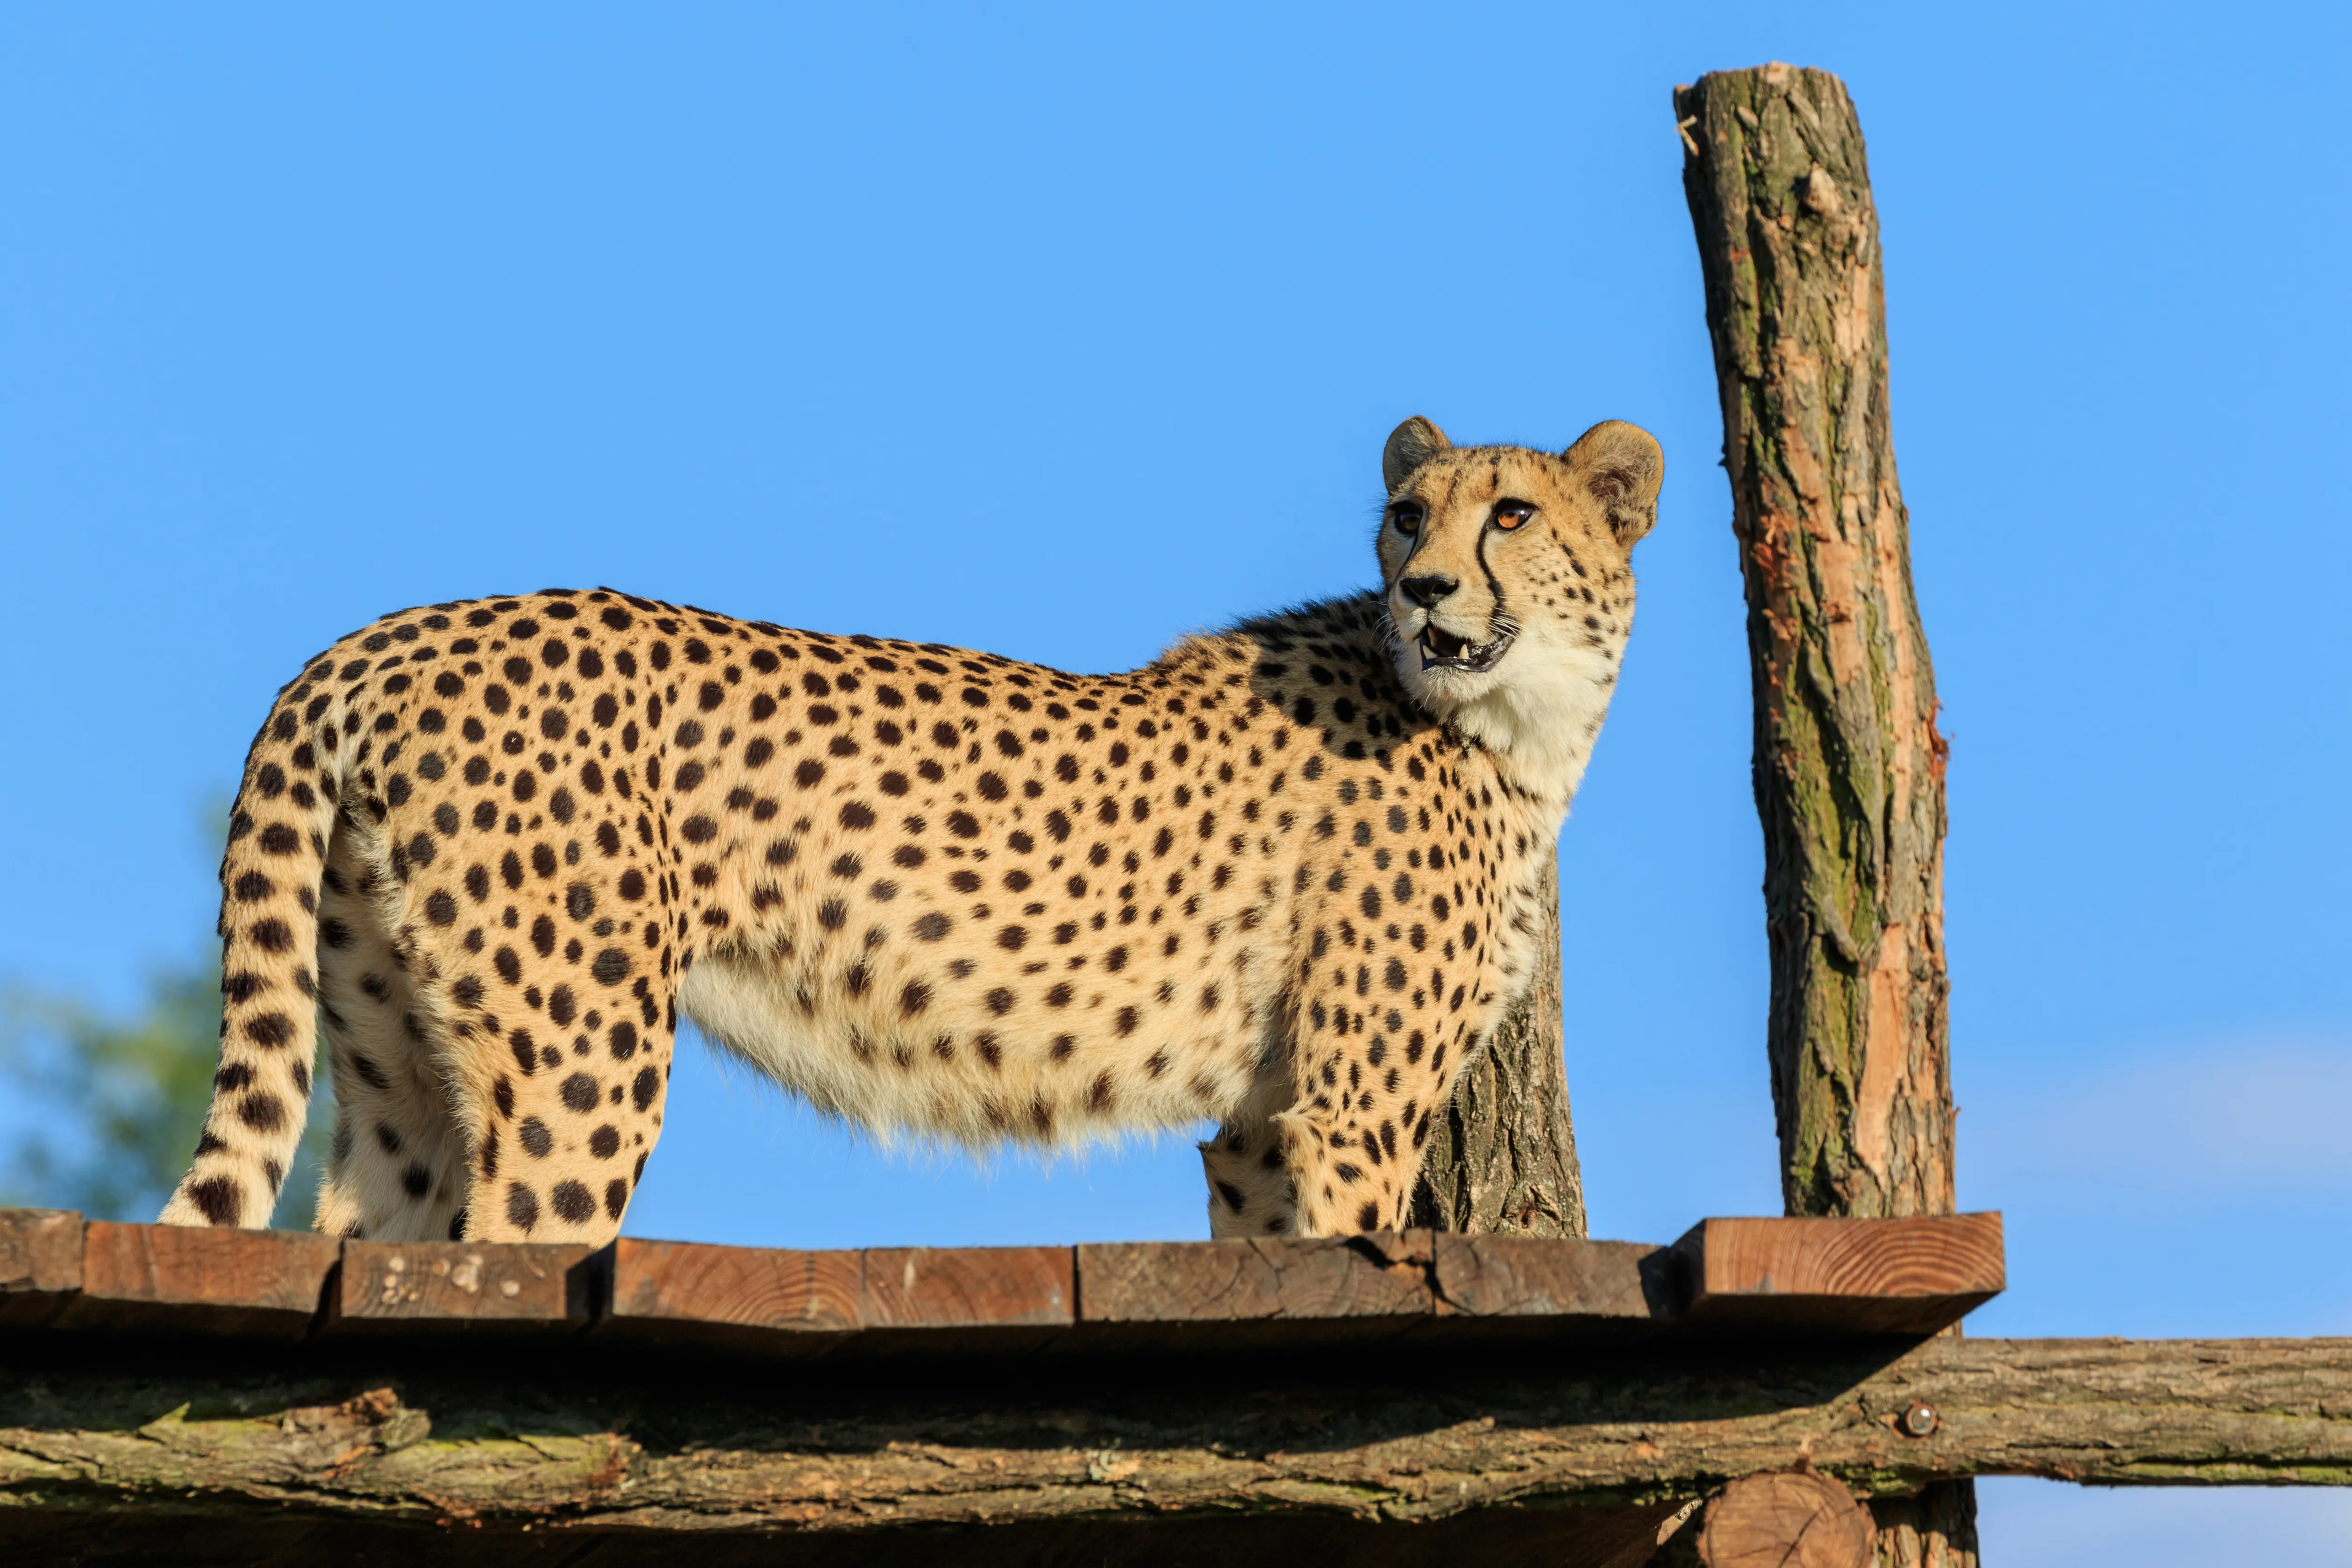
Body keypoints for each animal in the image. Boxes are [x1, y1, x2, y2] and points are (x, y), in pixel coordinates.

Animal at [158, 416, 1663, 1244]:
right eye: (1408, 514)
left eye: (1509, 513)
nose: (1422, 589)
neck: (1516, 728)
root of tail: (395, 630)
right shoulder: (1352, 1114)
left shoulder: (1257, 1121)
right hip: (579, 1059)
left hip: (397, 1075)